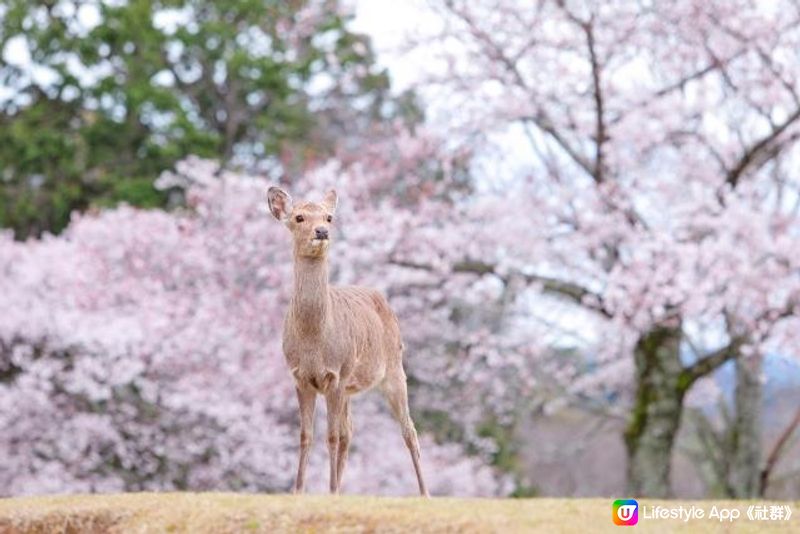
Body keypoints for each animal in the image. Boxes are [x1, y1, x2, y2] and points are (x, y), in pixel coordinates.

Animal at [268, 187, 432, 498]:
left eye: (329, 217)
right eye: (299, 217)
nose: (321, 231)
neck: (314, 341)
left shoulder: (337, 373)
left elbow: (330, 436)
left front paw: (330, 490)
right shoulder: (300, 377)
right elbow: (306, 435)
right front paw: (298, 491)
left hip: (393, 368)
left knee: (409, 429)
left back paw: (425, 493)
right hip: (352, 387)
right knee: (350, 431)